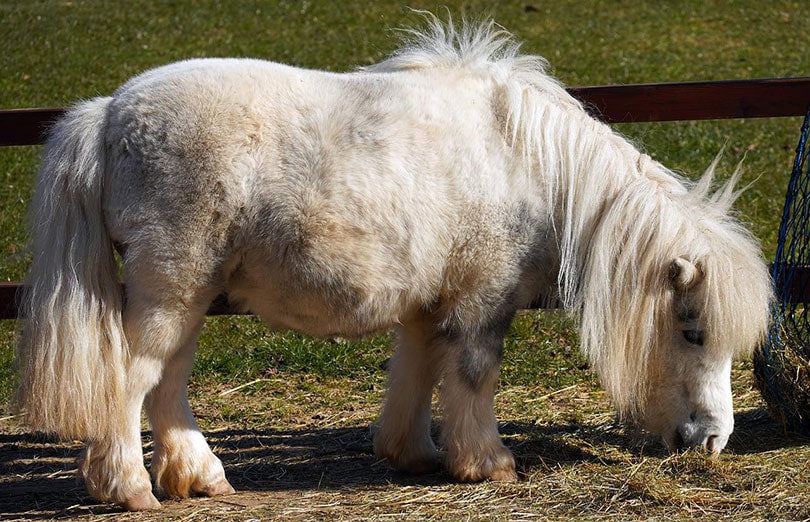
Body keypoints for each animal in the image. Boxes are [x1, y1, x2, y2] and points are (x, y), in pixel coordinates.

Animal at [14, 16, 773, 511]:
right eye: (693, 331)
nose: (712, 440)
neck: (534, 167)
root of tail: (110, 112)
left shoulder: (430, 303)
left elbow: (417, 371)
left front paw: (413, 453)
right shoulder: (482, 301)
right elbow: (472, 377)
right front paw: (488, 462)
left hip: (190, 297)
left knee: (168, 383)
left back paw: (198, 476)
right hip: (171, 290)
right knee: (133, 379)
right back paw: (130, 488)